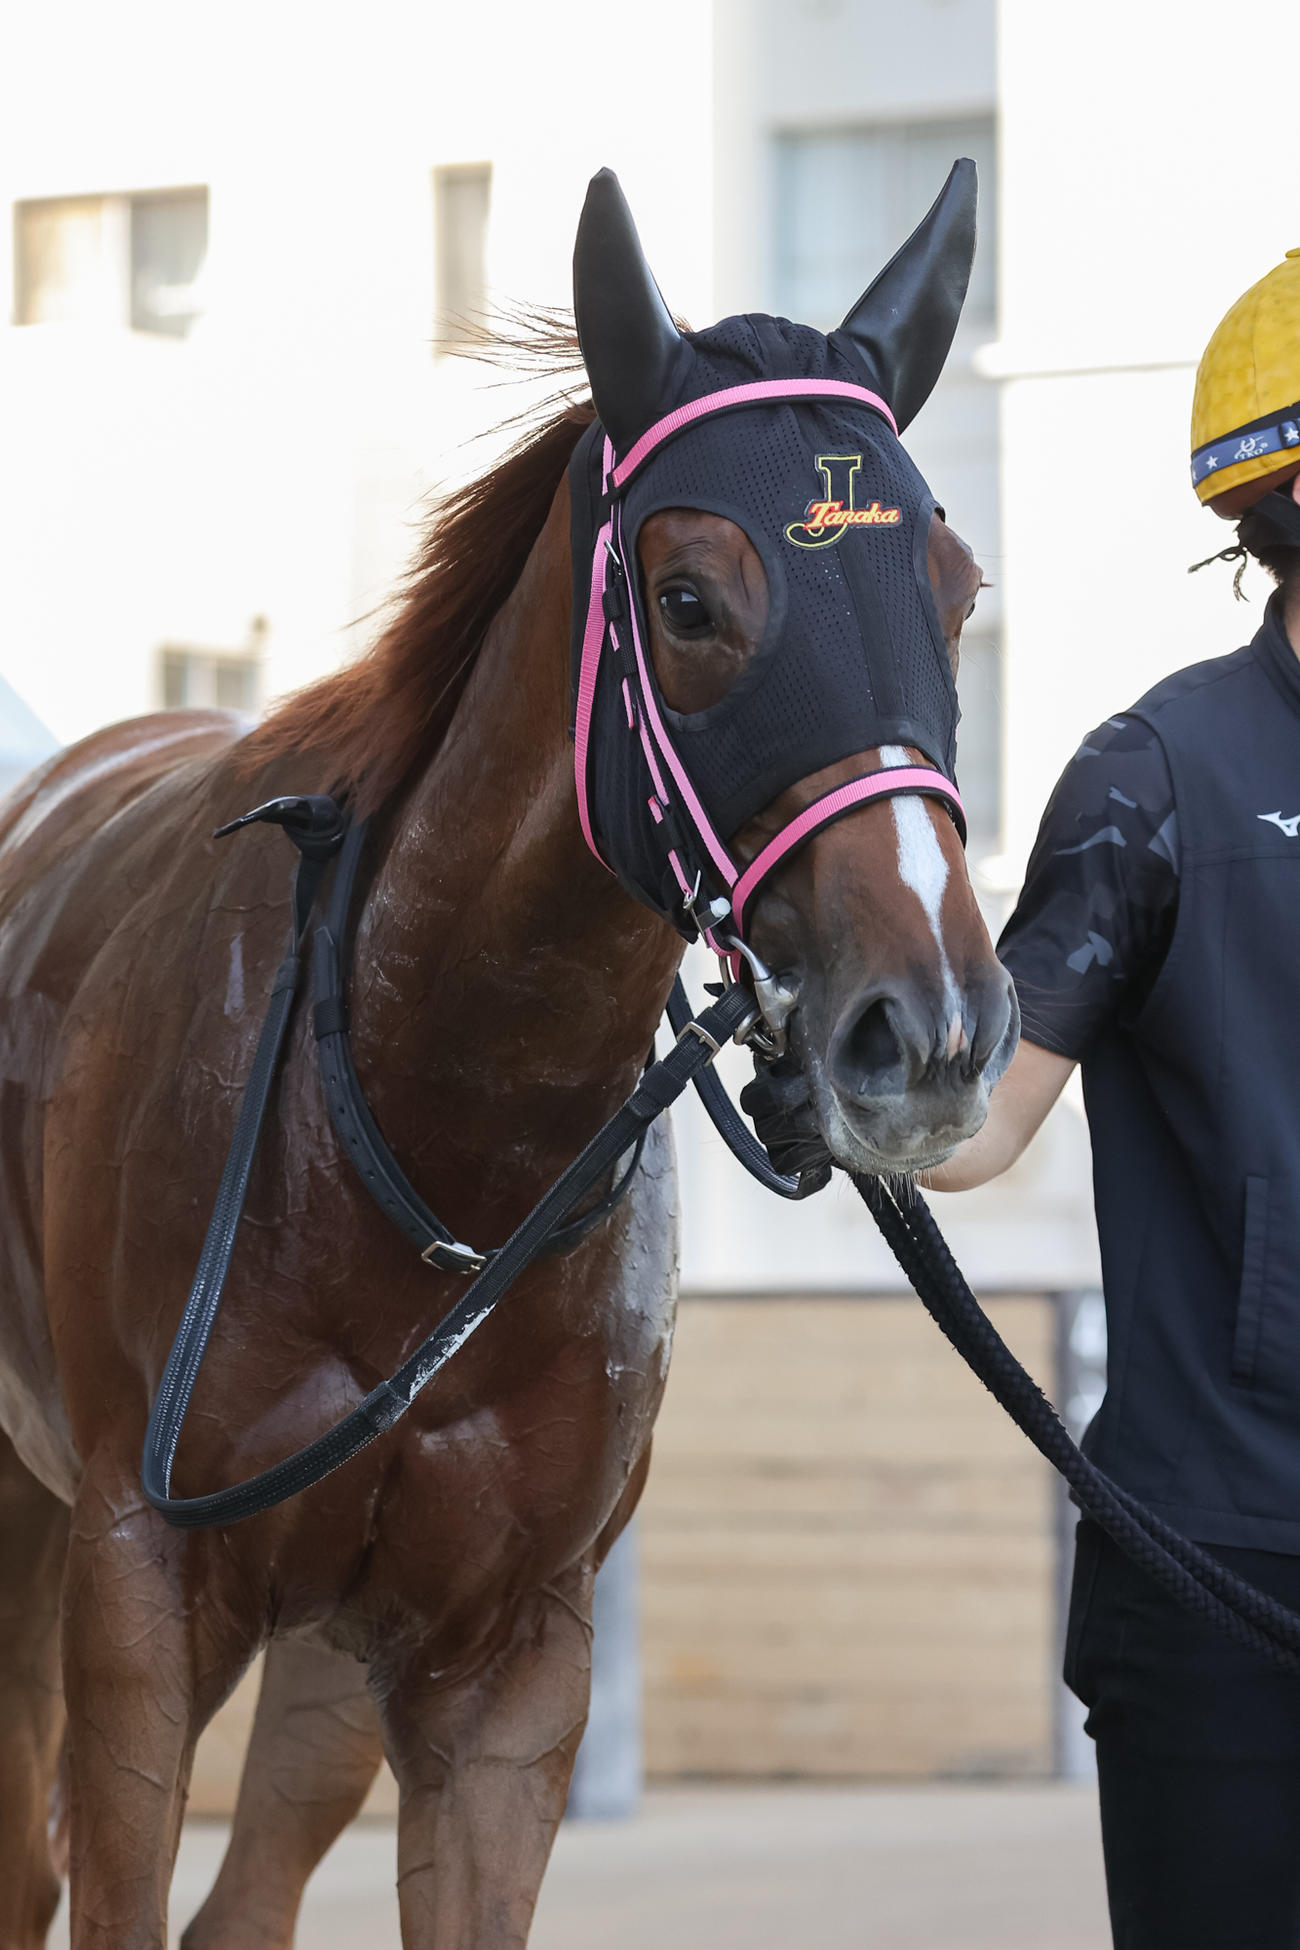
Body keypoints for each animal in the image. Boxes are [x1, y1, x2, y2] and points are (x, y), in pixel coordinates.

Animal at [0, 166, 1015, 1946]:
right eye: (690, 600)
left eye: (951, 597)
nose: (933, 1028)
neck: (417, 1139)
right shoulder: (140, 1584)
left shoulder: (504, 1650)